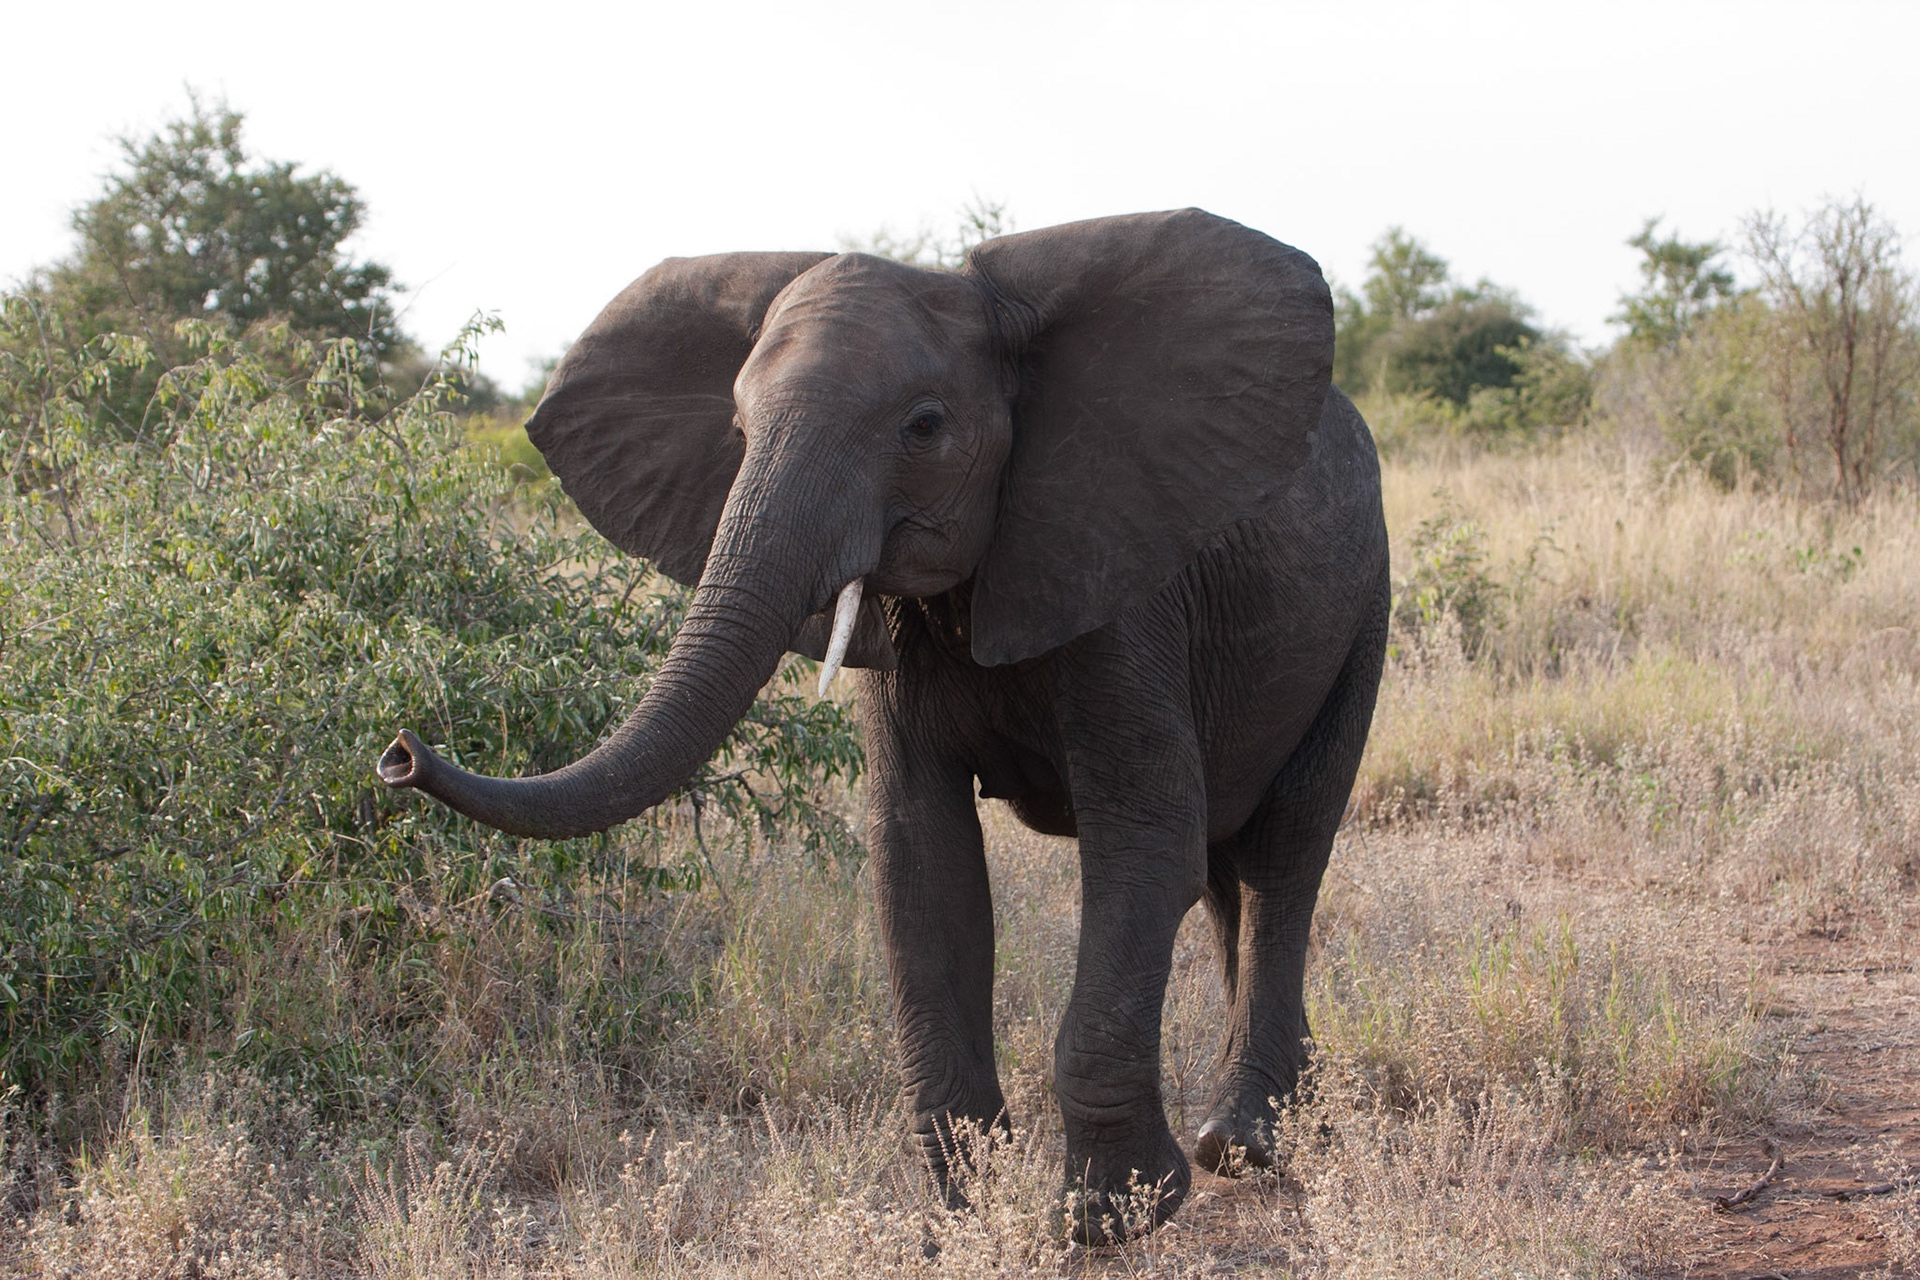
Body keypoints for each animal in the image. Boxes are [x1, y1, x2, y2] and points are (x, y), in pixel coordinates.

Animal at [377, 208, 1389, 1240]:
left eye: (925, 427)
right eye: (737, 432)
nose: (400, 753)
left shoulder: (1122, 580)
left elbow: (1143, 846)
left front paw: (1112, 1217)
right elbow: (922, 861)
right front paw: (967, 1212)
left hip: (1362, 611)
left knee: (1281, 855)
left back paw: (1246, 1148)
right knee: (1230, 871)